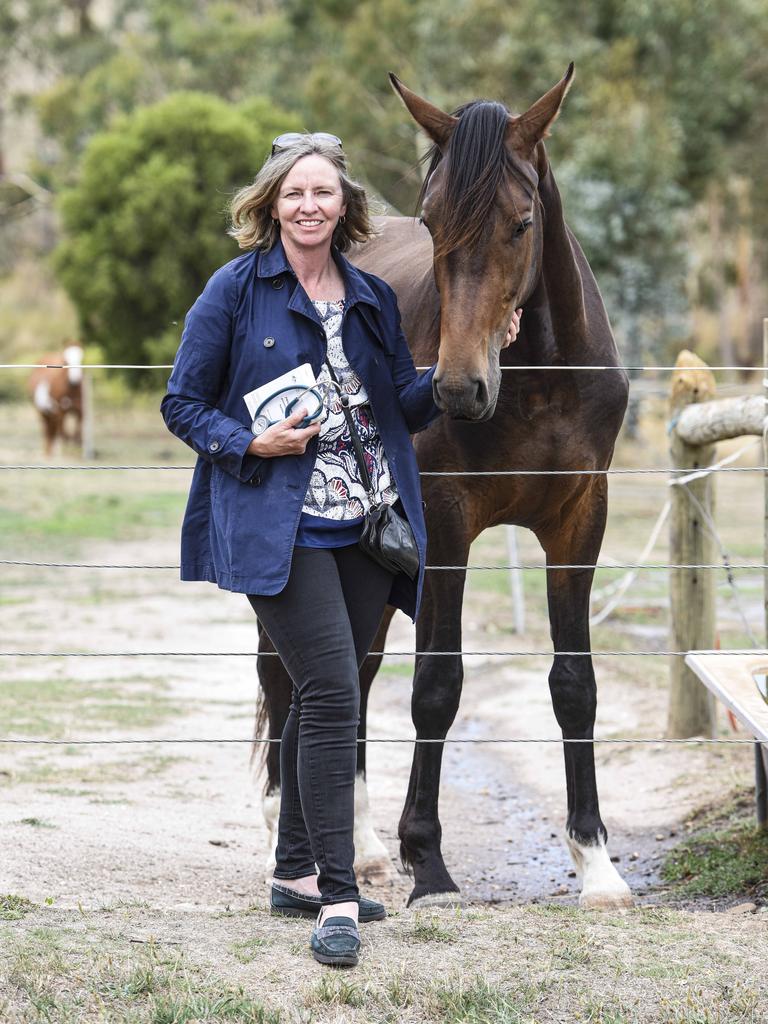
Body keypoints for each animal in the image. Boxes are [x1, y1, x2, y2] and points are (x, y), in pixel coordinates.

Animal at [259, 64, 630, 909]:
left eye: (522, 223)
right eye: (431, 223)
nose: (459, 388)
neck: (539, 383)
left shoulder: (579, 520)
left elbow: (575, 685)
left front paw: (596, 862)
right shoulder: (448, 523)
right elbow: (436, 685)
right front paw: (426, 861)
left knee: (354, 671)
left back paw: (359, 846)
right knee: (296, 672)